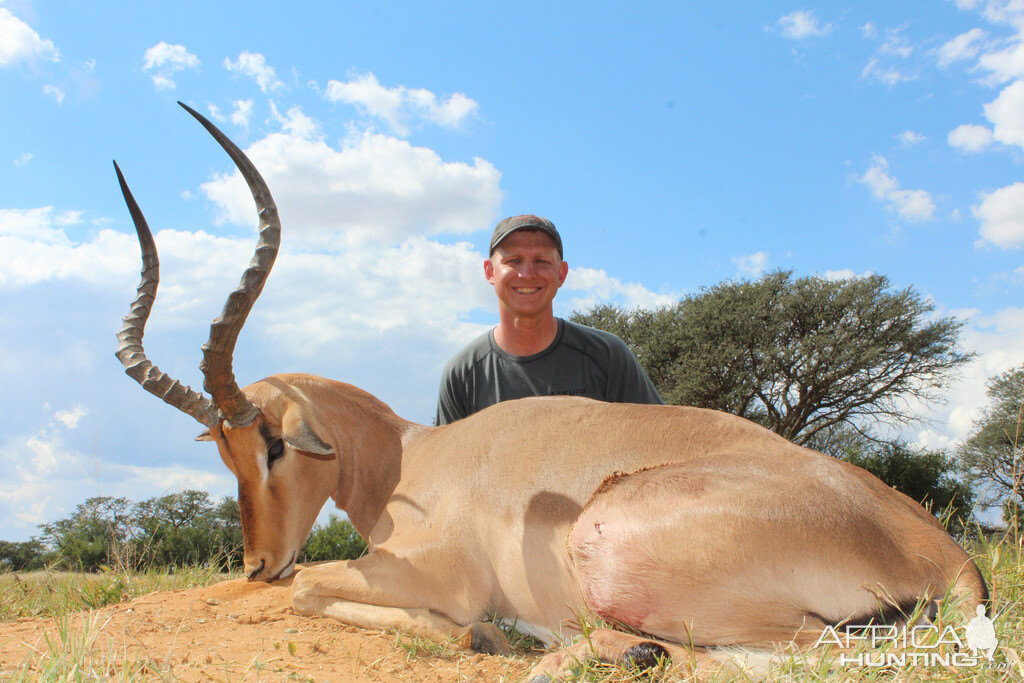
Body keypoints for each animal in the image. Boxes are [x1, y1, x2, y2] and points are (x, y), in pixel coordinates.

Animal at [116, 102, 987, 683]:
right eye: (224, 452)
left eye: (273, 444)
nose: (258, 563)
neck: (409, 460)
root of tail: (941, 552)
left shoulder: (435, 574)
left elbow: (320, 590)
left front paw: (479, 634)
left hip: (623, 538)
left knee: (793, 653)